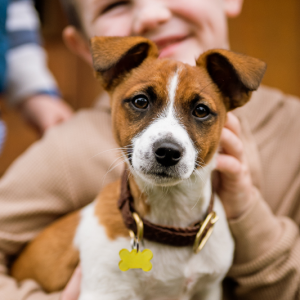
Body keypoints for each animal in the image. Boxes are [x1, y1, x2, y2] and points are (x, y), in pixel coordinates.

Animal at [10, 36, 266, 298]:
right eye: (141, 101)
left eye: (201, 110)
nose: (168, 152)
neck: (170, 215)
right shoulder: (104, 290)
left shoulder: (209, 290)